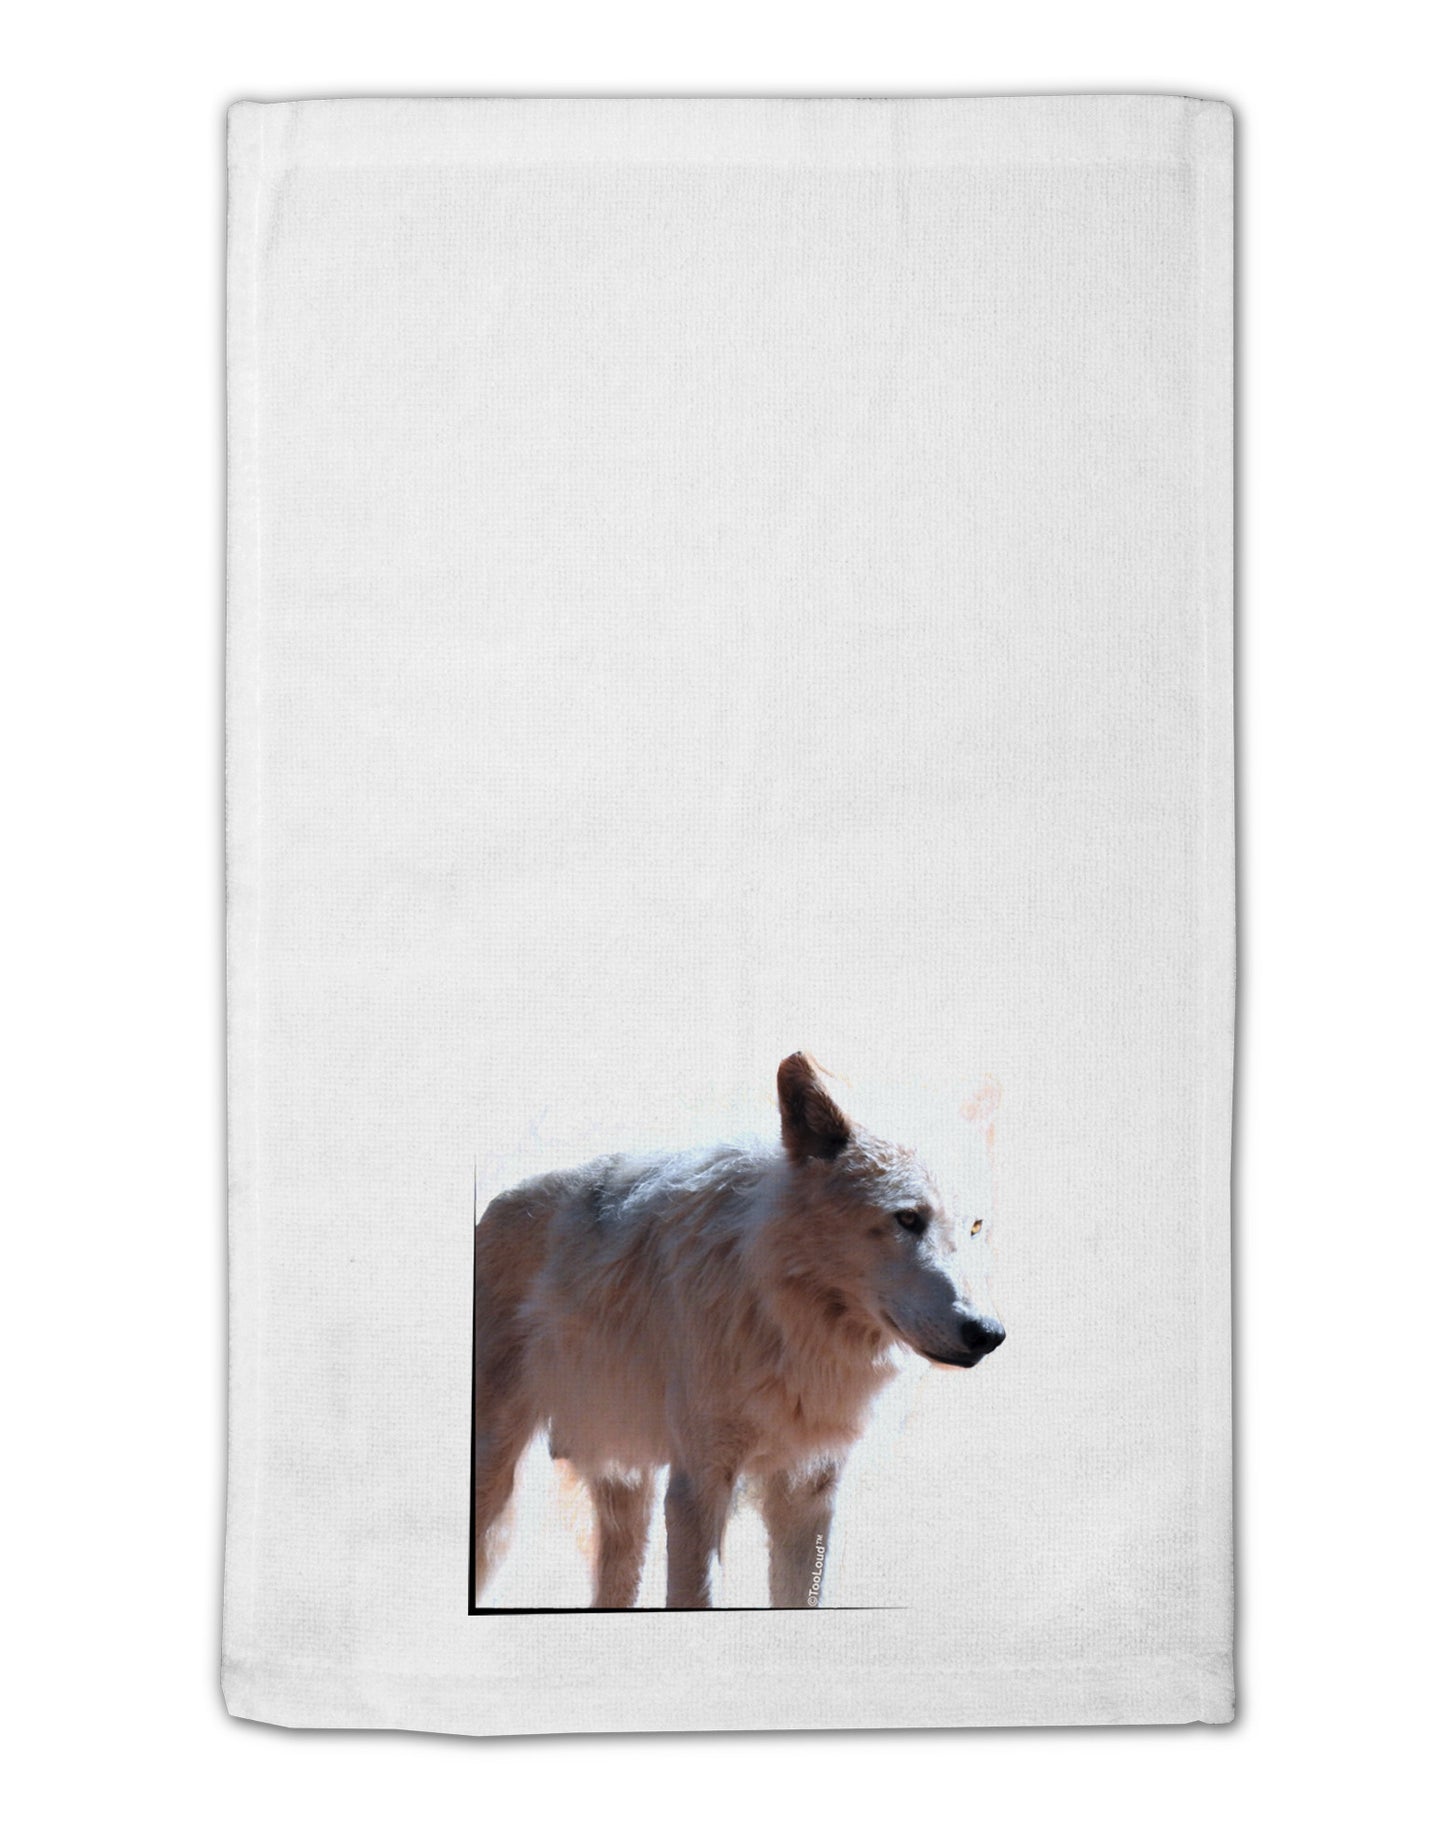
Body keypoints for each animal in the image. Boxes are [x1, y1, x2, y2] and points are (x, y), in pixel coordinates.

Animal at [472, 1053, 1005, 1610]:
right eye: (907, 1218)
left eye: (975, 1227)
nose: (988, 1333)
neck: (790, 1326)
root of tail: (493, 1206)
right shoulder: (699, 1483)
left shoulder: (811, 1491)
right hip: (496, 1480)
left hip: (628, 1484)